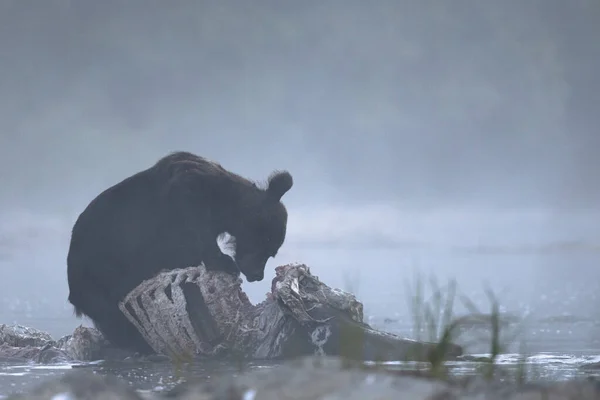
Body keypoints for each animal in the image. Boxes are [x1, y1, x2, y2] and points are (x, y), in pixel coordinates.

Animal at [67, 152, 294, 354]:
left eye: (271, 252)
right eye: (266, 246)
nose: (257, 275)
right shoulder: (183, 201)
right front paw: (224, 262)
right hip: (98, 277)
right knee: (116, 319)